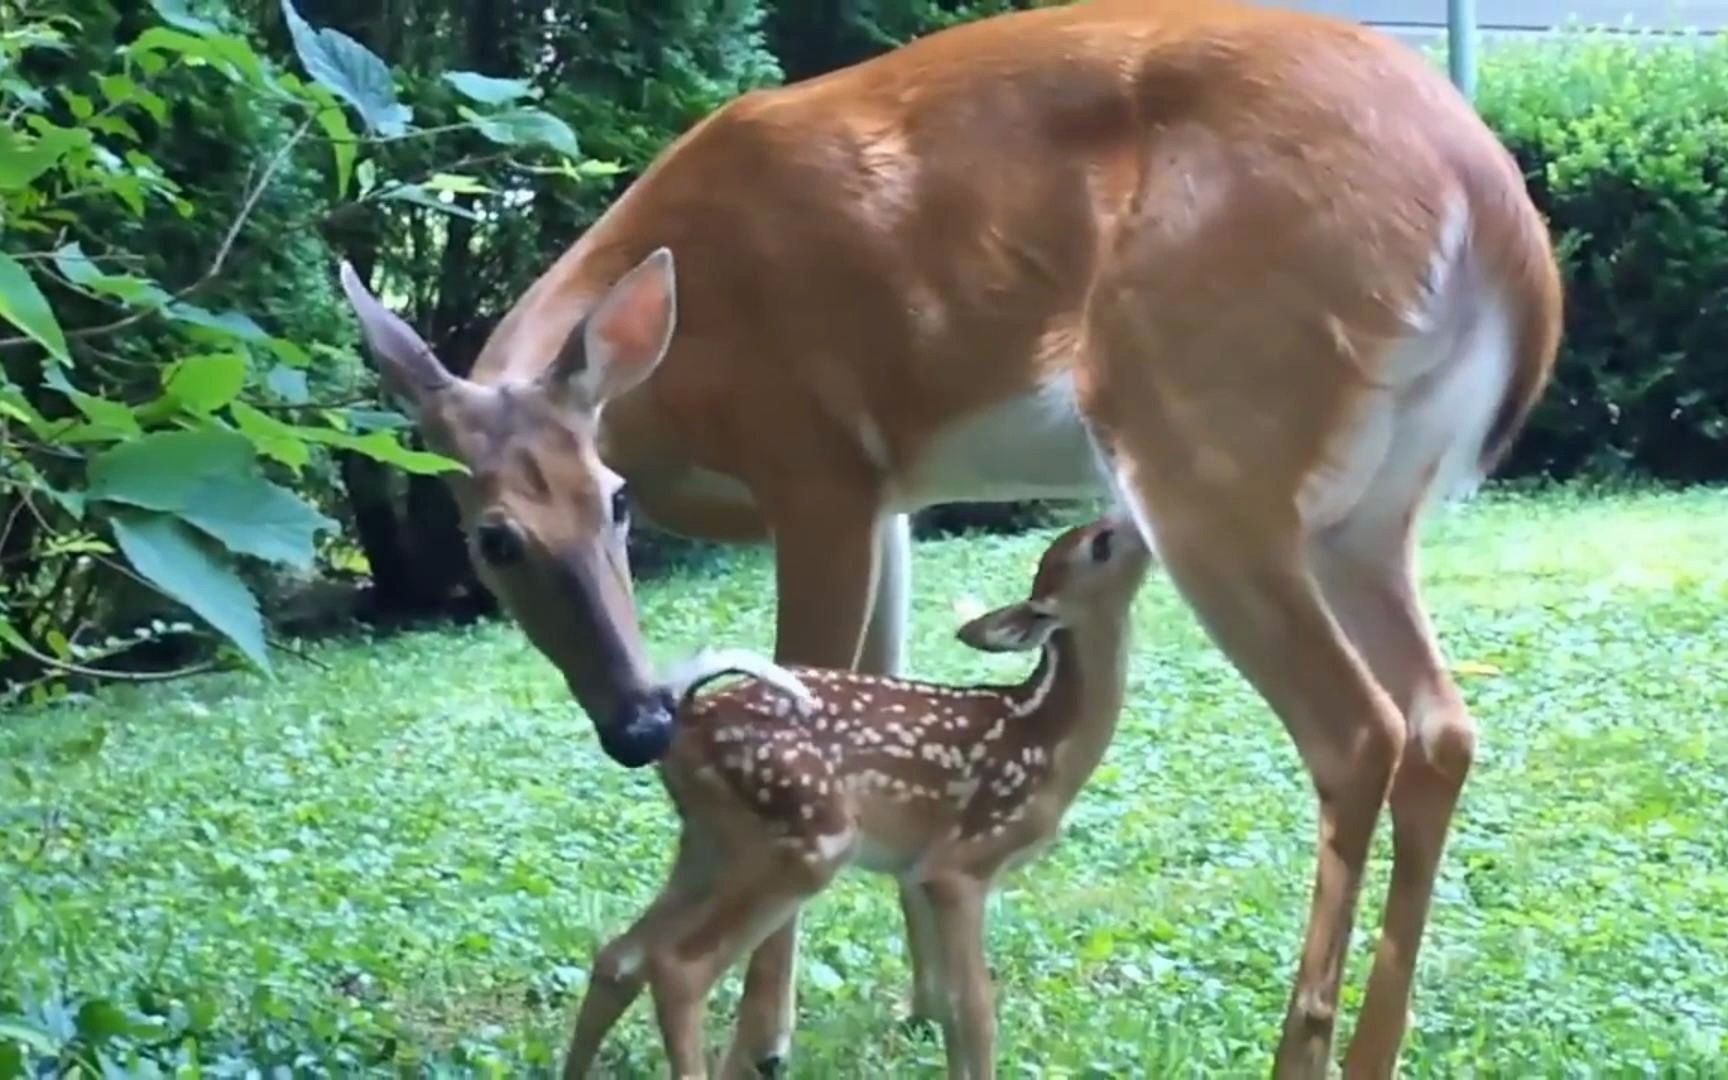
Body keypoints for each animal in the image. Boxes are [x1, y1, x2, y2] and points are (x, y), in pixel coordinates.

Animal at [333, 0, 1555, 1071]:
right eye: (496, 541)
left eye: (617, 503)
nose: (638, 725)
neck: (681, 374)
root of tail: (1499, 215)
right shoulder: (893, 495)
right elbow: (885, 676)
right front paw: (921, 999)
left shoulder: (817, 464)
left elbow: (815, 676)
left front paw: (765, 1040)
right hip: (1367, 508)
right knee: (1443, 726)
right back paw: (1376, 1050)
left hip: (1204, 438)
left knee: (1355, 732)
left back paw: (1300, 1053)